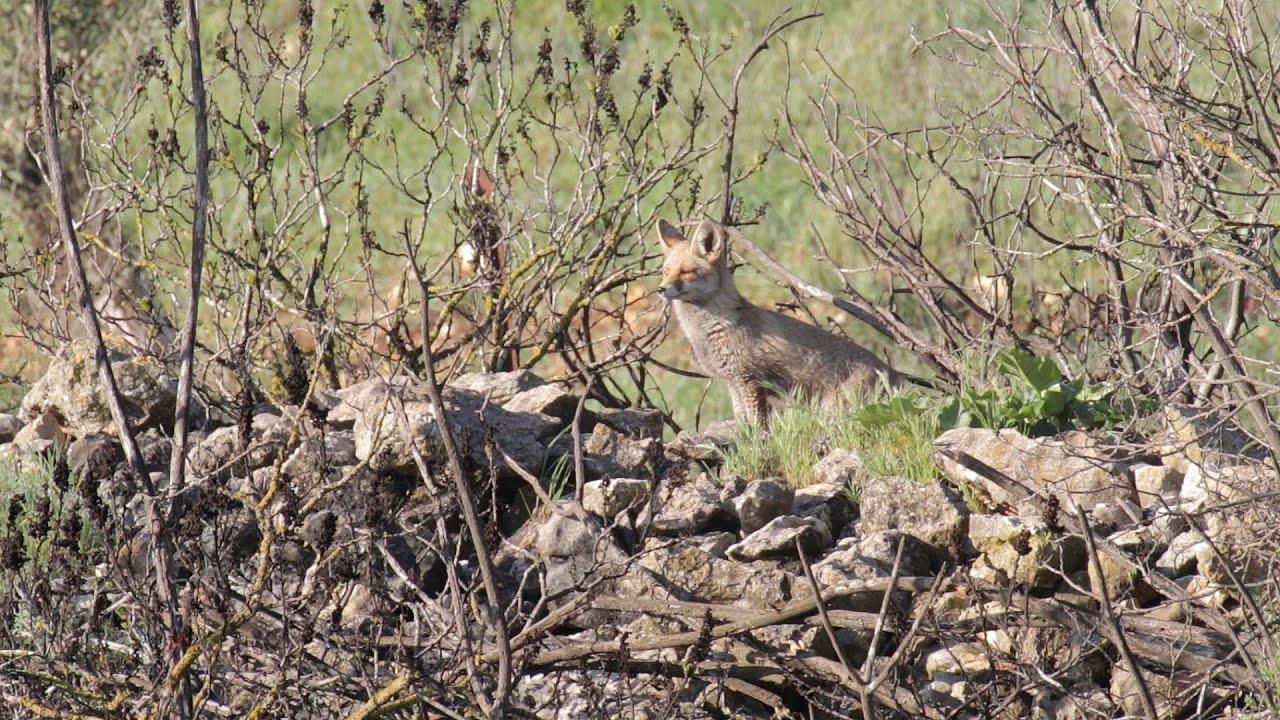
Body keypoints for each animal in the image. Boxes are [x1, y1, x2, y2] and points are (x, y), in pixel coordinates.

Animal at [657, 218, 903, 426]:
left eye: (686, 272)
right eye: (665, 272)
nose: (660, 289)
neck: (712, 328)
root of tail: (892, 372)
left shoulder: (749, 380)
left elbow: (757, 425)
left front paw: (757, 445)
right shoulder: (732, 383)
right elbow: (742, 423)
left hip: (833, 408)